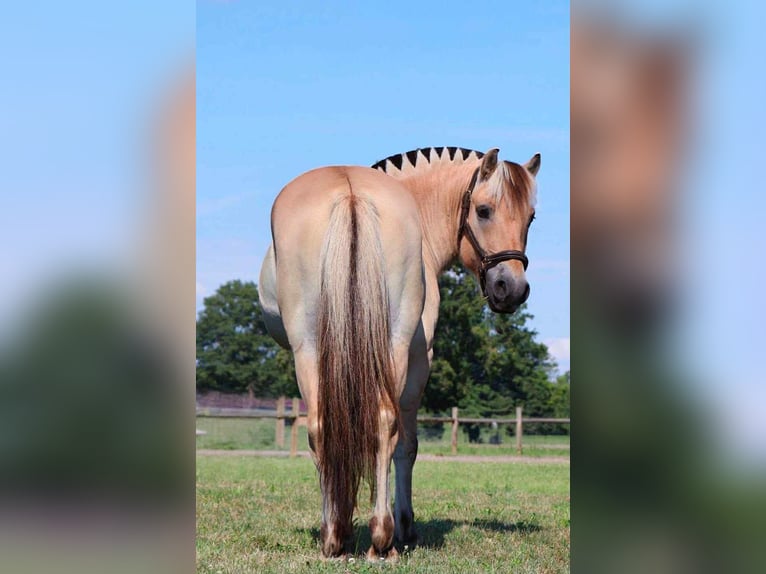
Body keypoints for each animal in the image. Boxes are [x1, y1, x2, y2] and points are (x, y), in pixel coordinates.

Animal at [258, 146, 540, 559]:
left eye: (531, 217)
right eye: (484, 210)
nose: (512, 289)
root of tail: (351, 194)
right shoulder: (420, 360)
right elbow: (407, 445)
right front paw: (405, 527)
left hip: (314, 348)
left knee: (335, 426)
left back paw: (350, 536)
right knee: (368, 426)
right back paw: (368, 536)